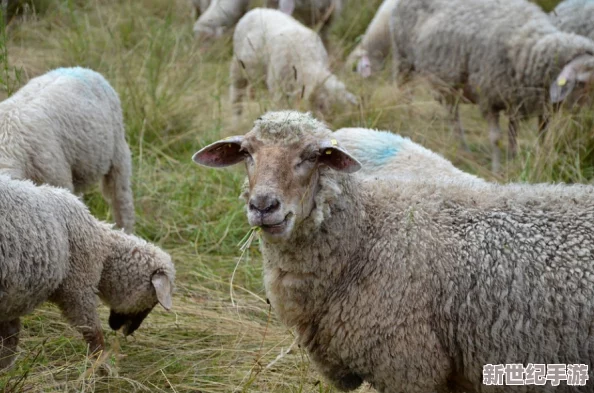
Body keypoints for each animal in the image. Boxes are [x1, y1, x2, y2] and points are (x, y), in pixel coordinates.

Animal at [0, 175, 176, 370]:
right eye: (153, 300)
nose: (128, 331)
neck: (103, 249)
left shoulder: (12, 297)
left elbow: (11, 336)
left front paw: (5, 368)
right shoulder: (78, 289)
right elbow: (93, 333)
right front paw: (103, 368)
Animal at [388, 0, 592, 173]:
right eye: (581, 82)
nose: (588, 122)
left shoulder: (521, 100)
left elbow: (522, 136)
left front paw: (516, 160)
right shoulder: (489, 98)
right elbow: (496, 139)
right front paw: (497, 169)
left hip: (449, 81)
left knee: (453, 115)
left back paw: (463, 149)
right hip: (403, 59)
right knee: (405, 95)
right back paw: (407, 120)